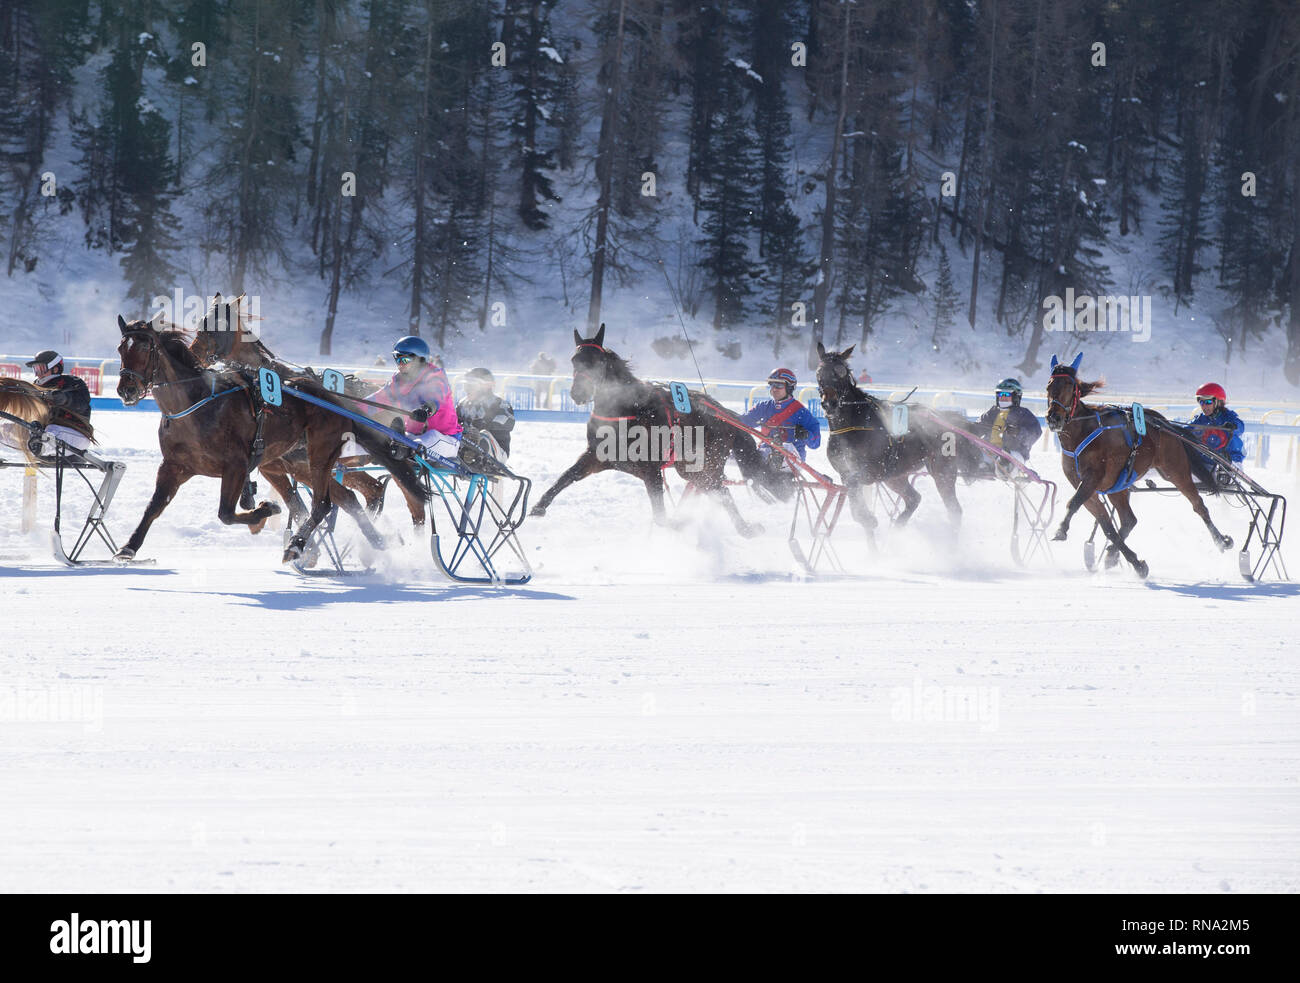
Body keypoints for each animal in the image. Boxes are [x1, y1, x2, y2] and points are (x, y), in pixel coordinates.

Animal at [112, 314, 426, 561]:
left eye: (146, 346)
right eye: (120, 348)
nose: (127, 389)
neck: (197, 406)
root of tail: (329, 397)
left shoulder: (237, 465)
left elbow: (227, 513)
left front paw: (264, 511)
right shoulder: (174, 466)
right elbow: (154, 506)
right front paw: (129, 546)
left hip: (320, 454)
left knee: (326, 503)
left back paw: (297, 546)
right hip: (304, 461)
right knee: (350, 497)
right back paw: (375, 540)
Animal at [527, 326, 790, 533]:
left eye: (597, 361)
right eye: (574, 359)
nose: (578, 394)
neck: (626, 410)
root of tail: (726, 416)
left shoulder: (651, 470)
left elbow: (661, 516)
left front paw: (677, 523)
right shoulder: (597, 457)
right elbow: (567, 475)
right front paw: (538, 506)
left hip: (703, 466)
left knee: (720, 491)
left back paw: (744, 527)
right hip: (693, 470)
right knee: (718, 491)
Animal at [811, 343, 977, 538]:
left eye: (841, 373)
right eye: (819, 373)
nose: (830, 404)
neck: (852, 425)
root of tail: (944, 418)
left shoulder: (871, 470)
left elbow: (854, 484)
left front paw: (868, 518)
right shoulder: (845, 471)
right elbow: (852, 494)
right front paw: (866, 518)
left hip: (942, 471)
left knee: (954, 511)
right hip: (895, 476)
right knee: (914, 498)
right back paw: (898, 526)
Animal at [1045, 351, 1227, 574]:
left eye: (1070, 387)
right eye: (1049, 386)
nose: (1053, 418)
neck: (1082, 433)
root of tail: (1163, 423)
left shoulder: (1092, 478)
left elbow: (1074, 503)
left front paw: (1061, 529)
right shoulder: (1083, 483)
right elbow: (1107, 526)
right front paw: (1136, 563)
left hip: (1175, 471)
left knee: (1199, 506)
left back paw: (1221, 540)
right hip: (1118, 487)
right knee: (1129, 520)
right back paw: (1114, 554)